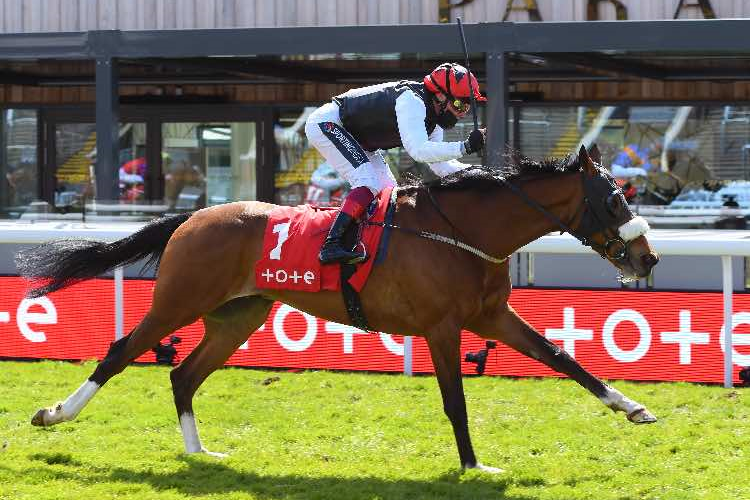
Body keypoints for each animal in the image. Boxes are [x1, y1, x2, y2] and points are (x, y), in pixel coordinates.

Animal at [17, 145, 660, 472]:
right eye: (614, 199)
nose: (648, 258)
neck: (463, 231)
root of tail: (193, 216)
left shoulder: (490, 316)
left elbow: (561, 357)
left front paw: (633, 408)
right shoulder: (442, 326)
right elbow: (455, 401)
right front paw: (475, 467)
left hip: (238, 315)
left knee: (184, 374)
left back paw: (201, 453)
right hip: (179, 300)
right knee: (120, 351)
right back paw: (54, 414)